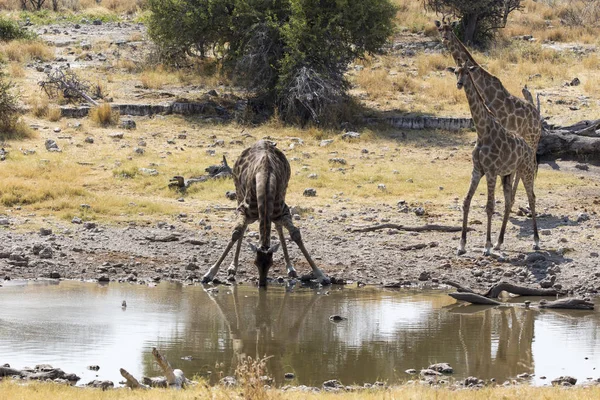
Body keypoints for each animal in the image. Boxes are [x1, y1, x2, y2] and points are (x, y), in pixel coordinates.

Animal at [202, 139, 328, 286]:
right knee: (243, 228)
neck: (265, 178)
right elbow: (236, 232)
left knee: (278, 227)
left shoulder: (283, 211)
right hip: (238, 192)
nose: (262, 284)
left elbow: (295, 234)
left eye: (271, 264)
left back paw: (290, 268)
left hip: (283, 192)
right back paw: (233, 267)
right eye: (255, 262)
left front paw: (321, 275)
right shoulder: (243, 209)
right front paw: (209, 274)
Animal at [434, 20, 540, 203]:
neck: (487, 92)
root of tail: (538, 116)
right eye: (440, 29)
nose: (445, 38)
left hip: (532, 138)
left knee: (532, 165)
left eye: (451, 30)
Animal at [452, 63, 540, 255]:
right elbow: (466, 201)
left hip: (526, 170)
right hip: (507, 174)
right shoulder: (477, 170)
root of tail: (529, 149)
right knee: (508, 202)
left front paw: (486, 246)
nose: (459, 84)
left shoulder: (491, 171)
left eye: (467, 72)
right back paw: (500, 242)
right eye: (456, 72)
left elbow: (489, 206)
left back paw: (536, 241)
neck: (482, 131)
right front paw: (462, 245)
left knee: (531, 197)